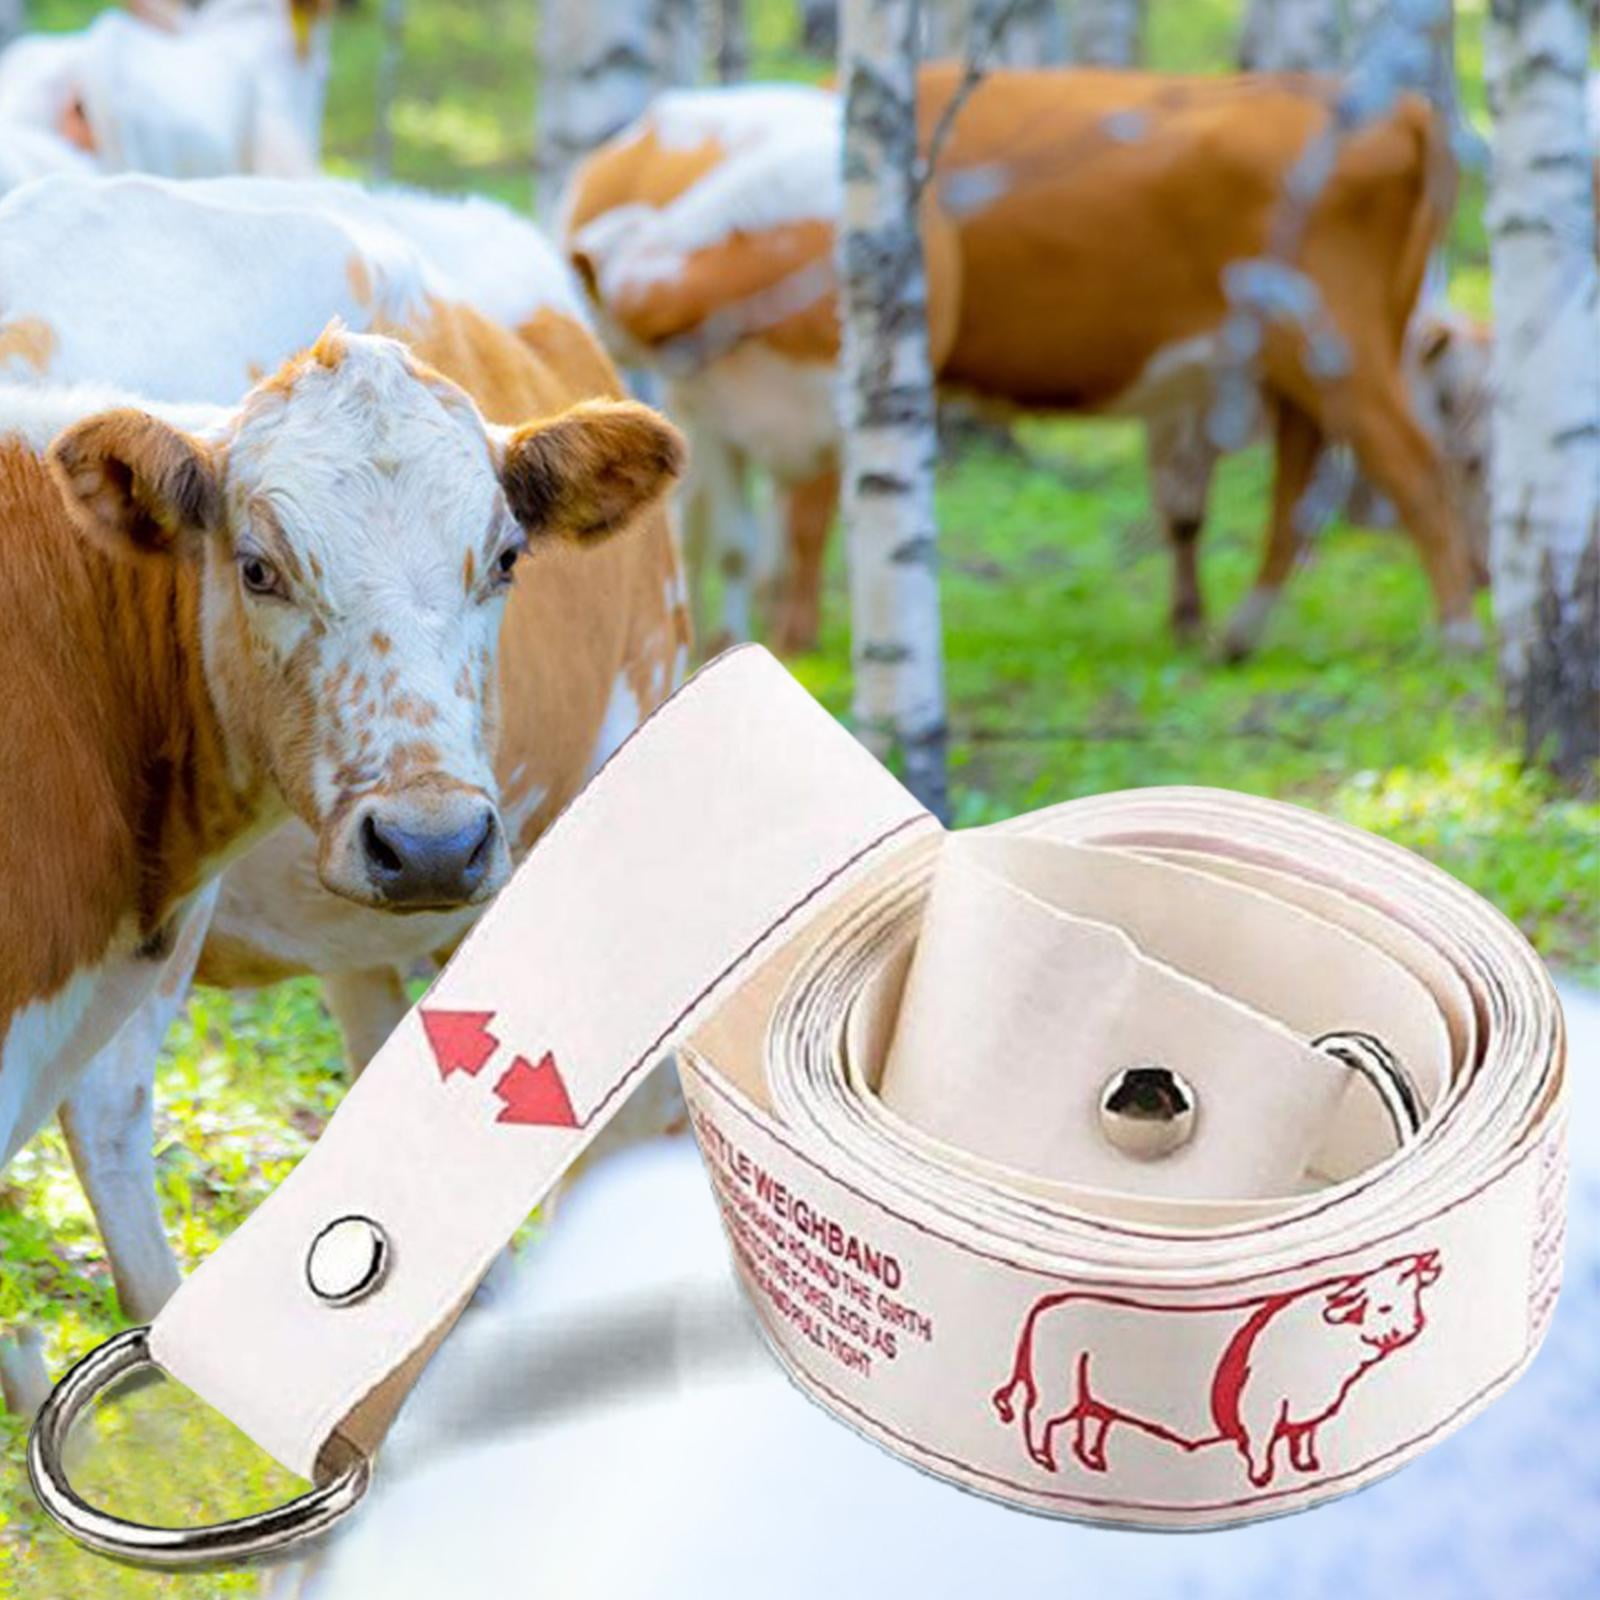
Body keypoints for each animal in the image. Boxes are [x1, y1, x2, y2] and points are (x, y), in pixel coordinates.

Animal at [565, 70, 1480, 660]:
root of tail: (1398, 110)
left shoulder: (827, 412)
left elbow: (804, 531)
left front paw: (793, 646)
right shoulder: (713, 418)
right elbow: (732, 543)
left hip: (1334, 343)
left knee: (1404, 465)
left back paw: (1455, 635)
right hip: (1307, 357)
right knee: (1312, 475)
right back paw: (1250, 631)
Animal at [991, 1249, 1443, 1490]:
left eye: (1415, 1294)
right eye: (1383, 1306)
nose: (1414, 1327)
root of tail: (1047, 1305)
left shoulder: (1309, 1416)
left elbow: (1303, 1441)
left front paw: (1306, 1467)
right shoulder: (1261, 1417)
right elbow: (1261, 1452)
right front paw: (1262, 1479)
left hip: (1094, 1399)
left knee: (1090, 1428)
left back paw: (1094, 1462)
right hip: (1058, 1392)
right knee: (1037, 1417)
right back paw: (1044, 1460)